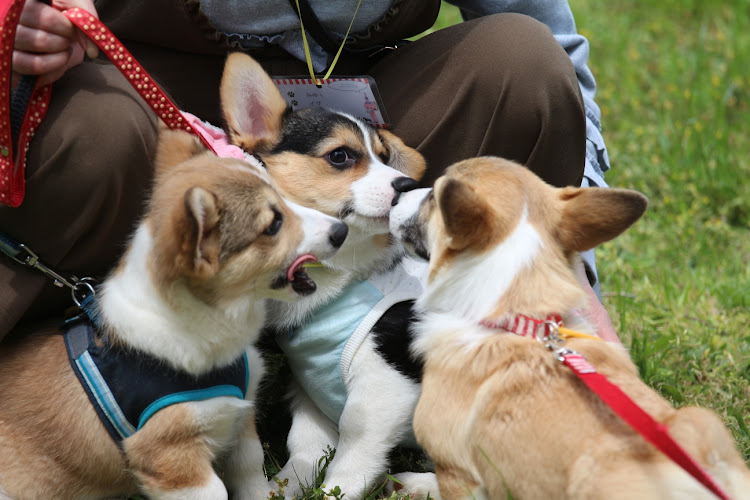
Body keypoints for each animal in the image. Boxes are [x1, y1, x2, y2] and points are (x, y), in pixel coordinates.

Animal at [0, 126, 348, 500]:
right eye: (273, 225)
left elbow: (251, 475)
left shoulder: (240, 425)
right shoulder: (174, 460)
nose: (341, 231)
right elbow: (216, 491)